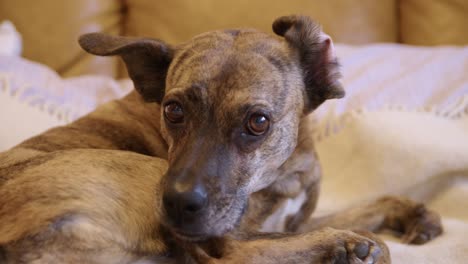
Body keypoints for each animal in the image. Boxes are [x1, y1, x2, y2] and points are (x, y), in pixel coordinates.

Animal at [0, 15, 442, 262]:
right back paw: (346, 247)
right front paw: (349, 240)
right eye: (173, 110)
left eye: (258, 122)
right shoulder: (240, 227)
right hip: (150, 175)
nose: (179, 203)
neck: (282, 174)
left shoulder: (294, 218)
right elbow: (247, 244)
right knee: (235, 255)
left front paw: (410, 212)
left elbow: (362, 205)